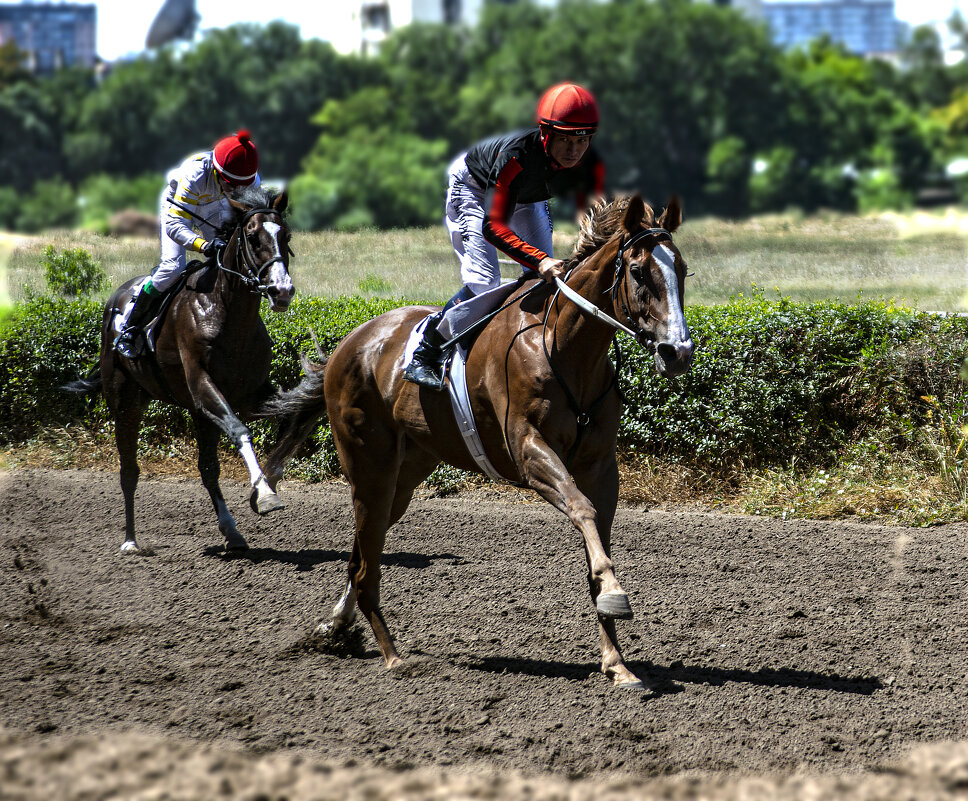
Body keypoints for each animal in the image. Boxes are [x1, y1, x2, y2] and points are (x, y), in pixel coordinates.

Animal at [65, 185, 294, 552]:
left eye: (285, 235)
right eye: (252, 236)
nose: (281, 290)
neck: (227, 313)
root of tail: (115, 299)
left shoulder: (249, 394)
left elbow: (285, 420)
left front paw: (268, 484)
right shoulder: (203, 385)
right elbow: (240, 430)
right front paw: (264, 493)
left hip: (192, 412)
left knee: (207, 469)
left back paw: (231, 532)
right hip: (125, 401)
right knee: (129, 469)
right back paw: (130, 540)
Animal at [260, 194, 692, 688]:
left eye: (681, 268)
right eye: (638, 271)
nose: (678, 352)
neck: (562, 346)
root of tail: (348, 343)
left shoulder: (600, 465)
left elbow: (595, 531)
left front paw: (617, 660)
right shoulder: (529, 451)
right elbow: (581, 508)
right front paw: (615, 593)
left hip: (408, 471)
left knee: (363, 550)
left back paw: (338, 626)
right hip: (369, 462)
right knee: (366, 559)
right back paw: (393, 656)